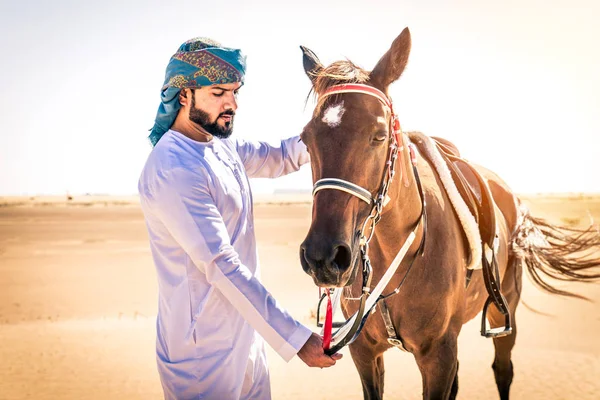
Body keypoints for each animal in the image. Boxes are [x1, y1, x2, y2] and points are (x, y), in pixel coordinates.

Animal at [298, 28, 600, 400]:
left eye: (379, 135)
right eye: (306, 139)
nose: (323, 257)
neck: (400, 253)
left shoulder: (438, 355)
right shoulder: (365, 354)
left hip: (504, 312)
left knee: (503, 369)